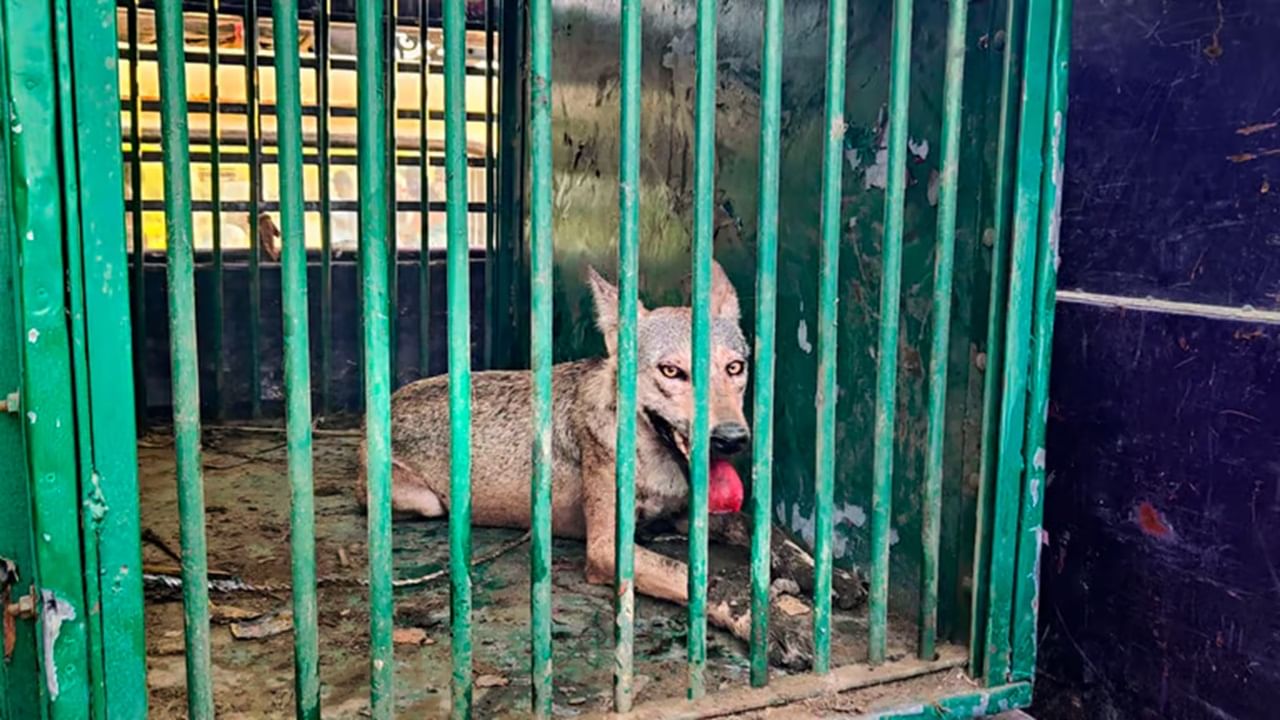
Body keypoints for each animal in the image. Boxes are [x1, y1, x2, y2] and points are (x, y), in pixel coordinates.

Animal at [358, 261, 866, 669]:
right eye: (671, 372)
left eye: (735, 368)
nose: (732, 440)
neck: (653, 462)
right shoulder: (608, 548)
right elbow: (715, 580)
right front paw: (773, 626)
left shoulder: (688, 510)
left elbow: (769, 532)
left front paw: (829, 576)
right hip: (429, 504)